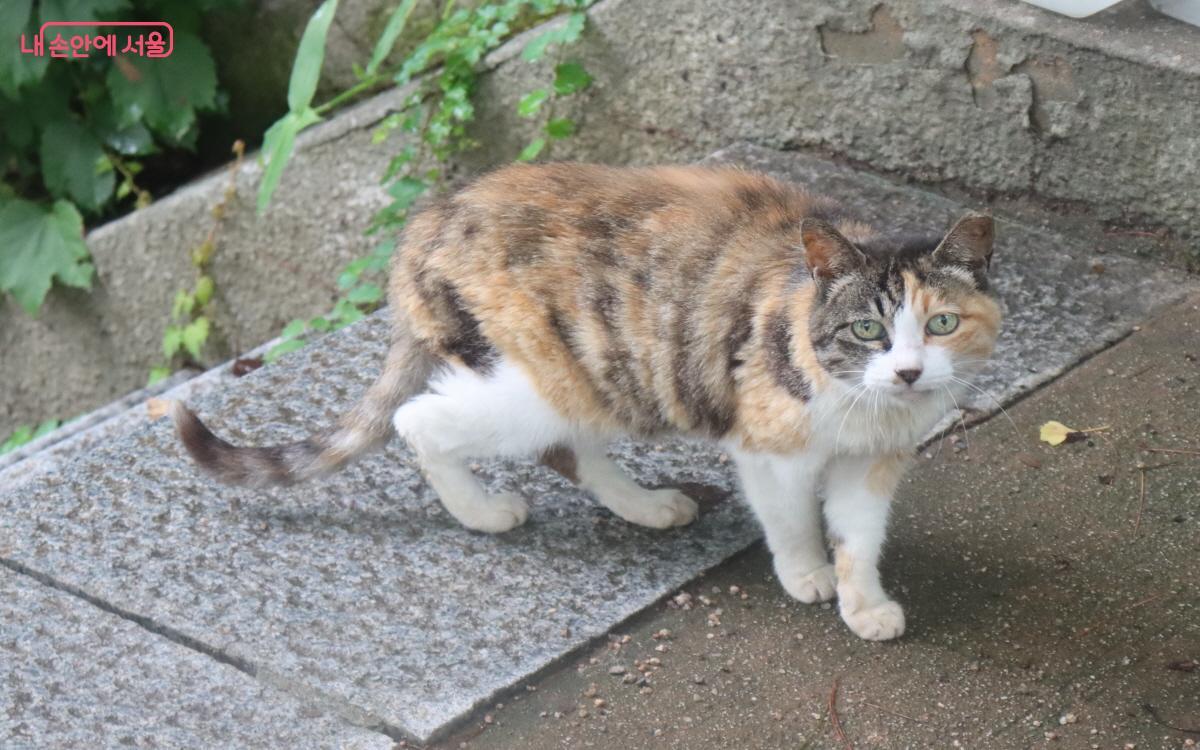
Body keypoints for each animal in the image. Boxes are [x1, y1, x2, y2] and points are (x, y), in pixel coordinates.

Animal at [174, 162, 998, 638]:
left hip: (593, 375)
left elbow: (859, 535)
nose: (910, 373)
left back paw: (646, 505)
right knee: (421, 420)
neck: (865, 408)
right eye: (866, 329)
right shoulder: (767, 445)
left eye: (942, 324)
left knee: (565, 446)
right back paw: (482, 511)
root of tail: (428, 221)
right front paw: (806, 575)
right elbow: (792, 519)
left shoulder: (872, 462)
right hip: (541, 379)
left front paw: (865, 603)